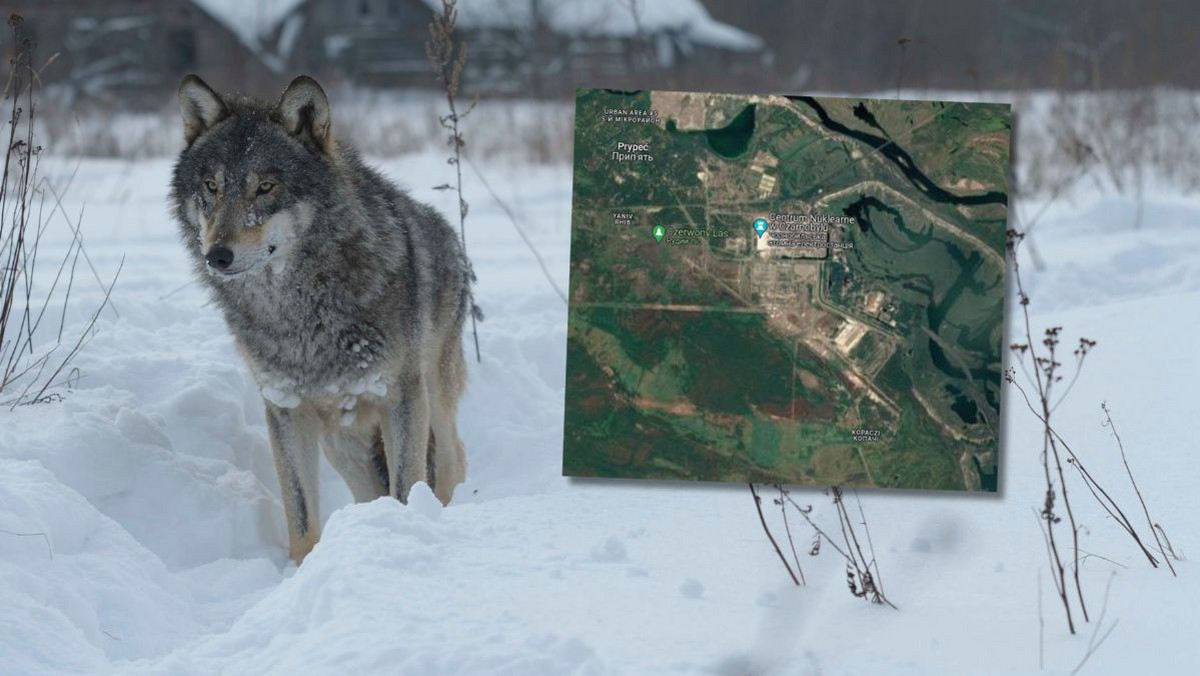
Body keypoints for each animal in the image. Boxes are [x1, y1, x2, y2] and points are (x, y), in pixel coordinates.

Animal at [170, 71, 477, 564]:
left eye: (265, 187)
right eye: (212, 187)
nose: (216, 255)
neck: (299, 314)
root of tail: (447, 233)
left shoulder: (401, 396)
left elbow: (407, 486)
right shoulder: (286, 411)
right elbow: (300, 516)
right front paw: (302, 569)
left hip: (433, 398)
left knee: (451, 459)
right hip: (343, 441)